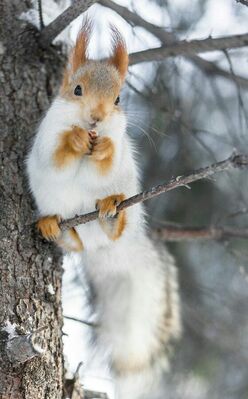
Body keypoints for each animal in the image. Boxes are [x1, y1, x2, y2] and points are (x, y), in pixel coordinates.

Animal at [26, 20, 182, 399]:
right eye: (77, 89)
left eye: (118, 99)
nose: (96, 119)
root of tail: (105, 251)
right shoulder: (47, 137)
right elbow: (57, 157)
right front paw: (75, 140)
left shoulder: (119, 147)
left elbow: (109, 159)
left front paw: (103, 147)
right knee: (75, 240)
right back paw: (57, 228)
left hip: (124, 208)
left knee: (109, 229)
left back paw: (111, 215)